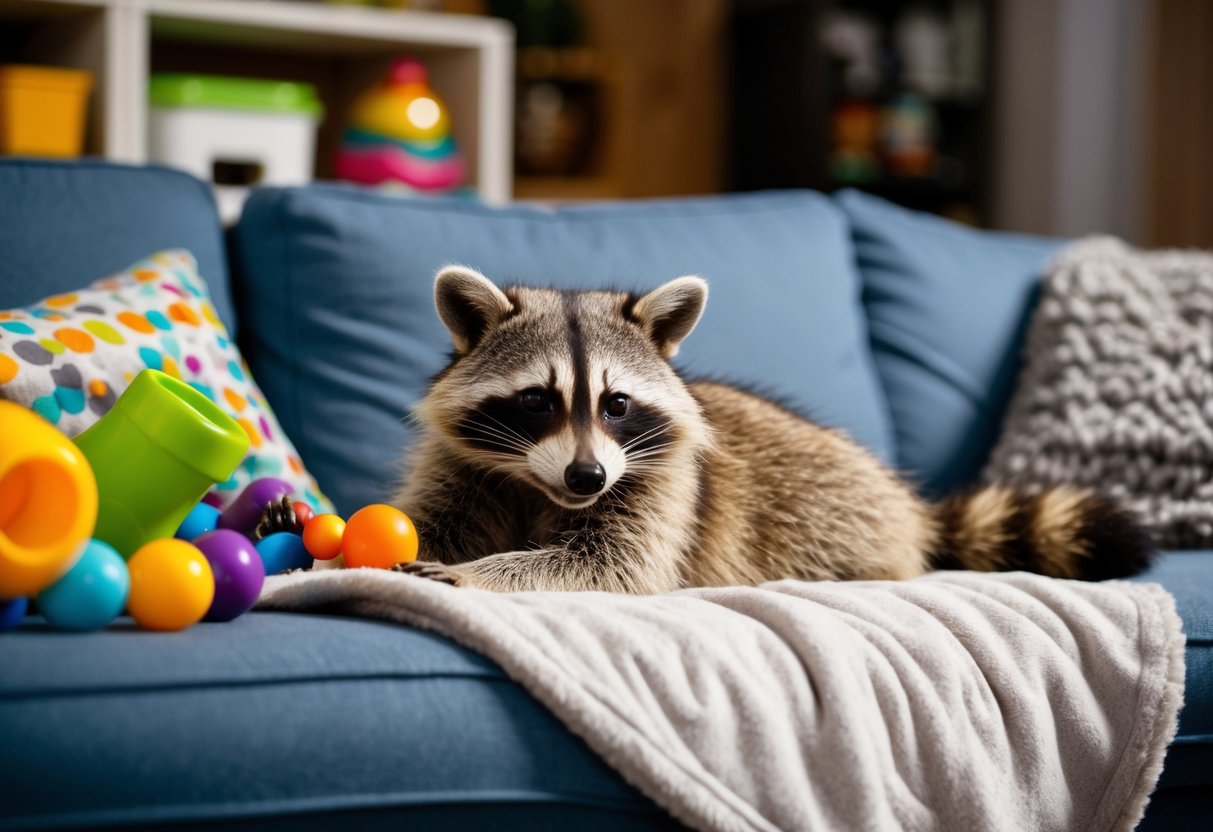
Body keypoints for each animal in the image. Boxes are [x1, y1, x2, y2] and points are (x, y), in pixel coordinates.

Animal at [384, 266, 1153, 593]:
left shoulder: (660, 485)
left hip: (833, 520)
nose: (588, 476)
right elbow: (434, 516)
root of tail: (907, 511)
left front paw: (473, 573)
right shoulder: (462, 461)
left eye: (617, 405)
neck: (540, 483)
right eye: (537, 401)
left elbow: (607, 563)